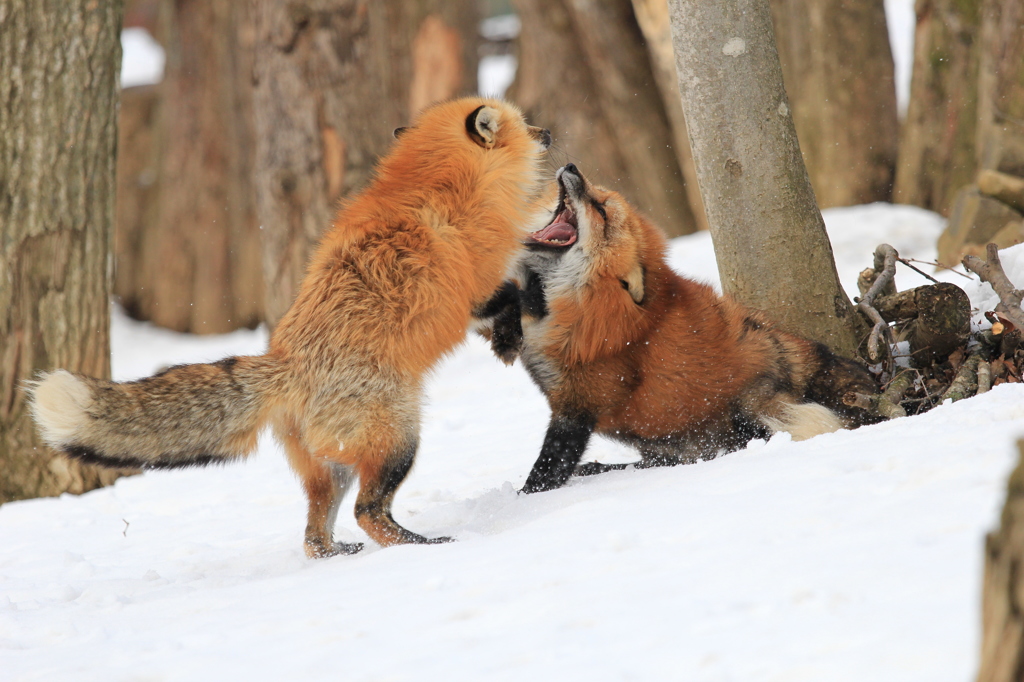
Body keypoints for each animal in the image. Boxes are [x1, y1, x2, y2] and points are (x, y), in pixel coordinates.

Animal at [475, 164, 884, 493]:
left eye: (601, 209)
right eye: (598, 196)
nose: (572, 167)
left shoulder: (580, 403)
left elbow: (549, 467)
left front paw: (523, 499)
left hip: (752, 411)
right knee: (661, 460)